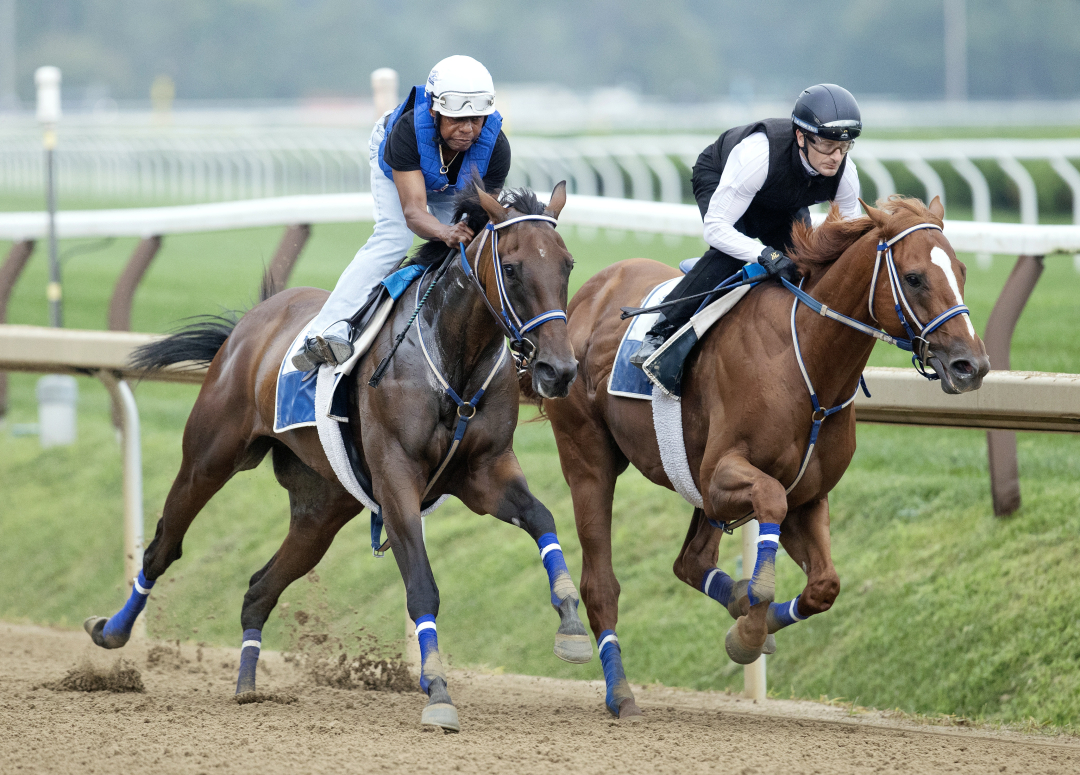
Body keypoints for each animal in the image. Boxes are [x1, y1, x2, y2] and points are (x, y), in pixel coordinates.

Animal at [83, 183, 591, 733]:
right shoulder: (396, 478)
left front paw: (571, 624)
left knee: (259, 588)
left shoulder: (485, 471)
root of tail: (253, 321)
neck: (452, 358)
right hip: (209, 458)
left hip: (322, 507)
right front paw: (437, 691)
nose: (559, 370)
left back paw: (246, 684)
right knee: (163, 547)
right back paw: (111, 631)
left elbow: (541, 517)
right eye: (513, 268)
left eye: (567, 265)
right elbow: (422, 586)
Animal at [544, 197, 989, 721]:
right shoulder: (721, 476)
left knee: (690, 562)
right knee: (601, 583)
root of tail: (587, 294)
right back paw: (619, 691)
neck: (806, 363)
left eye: (961, 271)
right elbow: (769, 508)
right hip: (588, 458)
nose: (972, 366)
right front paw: (750, 625)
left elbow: (824, 586)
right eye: (916, 277)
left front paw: (749, 628)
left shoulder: (806, 497)